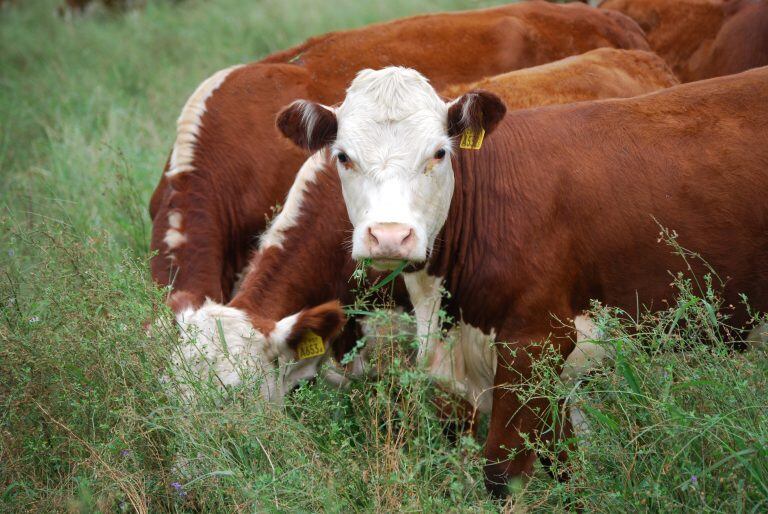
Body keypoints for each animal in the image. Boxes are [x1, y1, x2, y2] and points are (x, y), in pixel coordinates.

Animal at [280, 66, 768, 494]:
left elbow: (503, 471)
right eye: (344, 156)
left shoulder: (536, 342)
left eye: (439, 153)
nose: (389, 236)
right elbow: (565, 463)